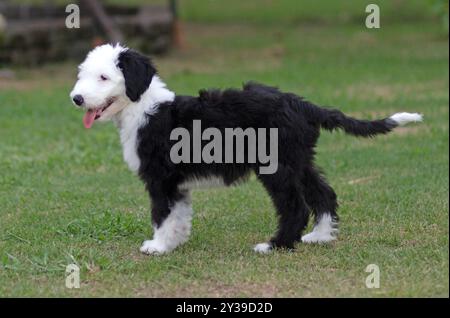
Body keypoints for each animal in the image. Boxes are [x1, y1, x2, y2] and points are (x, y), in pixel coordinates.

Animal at [69, 44, 422, 253]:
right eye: (84, 75)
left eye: (104, 77)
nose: (77, 98)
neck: (144, 107)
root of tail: (302, 104)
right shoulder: (175, 183)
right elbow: (179, 214)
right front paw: (174, 241)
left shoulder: (161, 179)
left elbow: (162, 213)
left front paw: (157, 246)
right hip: (299, 160)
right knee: (324, 193)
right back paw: (320, 236)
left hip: (277, 167)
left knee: (296, 206)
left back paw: (277, 245)